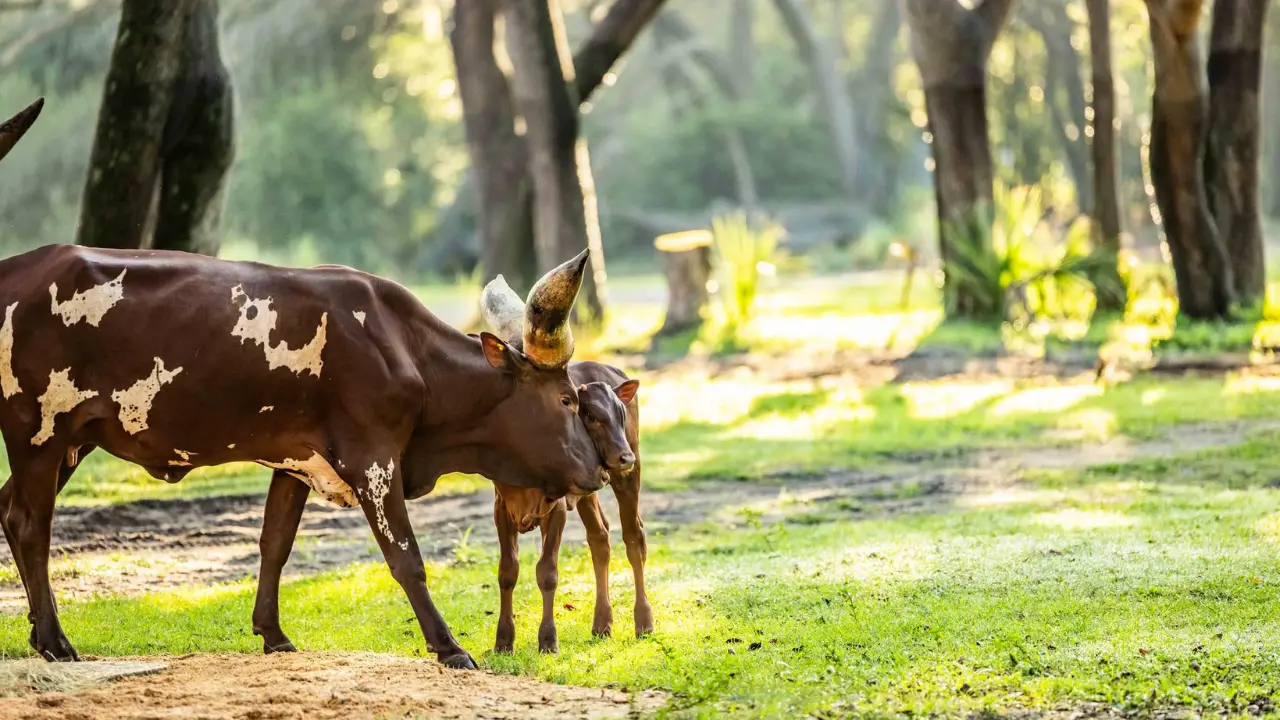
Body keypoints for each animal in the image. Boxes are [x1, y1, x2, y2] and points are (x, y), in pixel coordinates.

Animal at [0, 99, 608, 669]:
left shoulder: (295, 460)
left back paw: (36, 633)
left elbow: (275, 543)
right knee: (28, 524)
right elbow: (406, 558)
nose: (600, 471)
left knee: (11, 511)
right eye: (565, 398)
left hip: (71, 441)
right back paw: (55, 640)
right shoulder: (374, 459)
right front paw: (449, 646)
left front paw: (272, 633)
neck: (405, 348)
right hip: (38, 431)